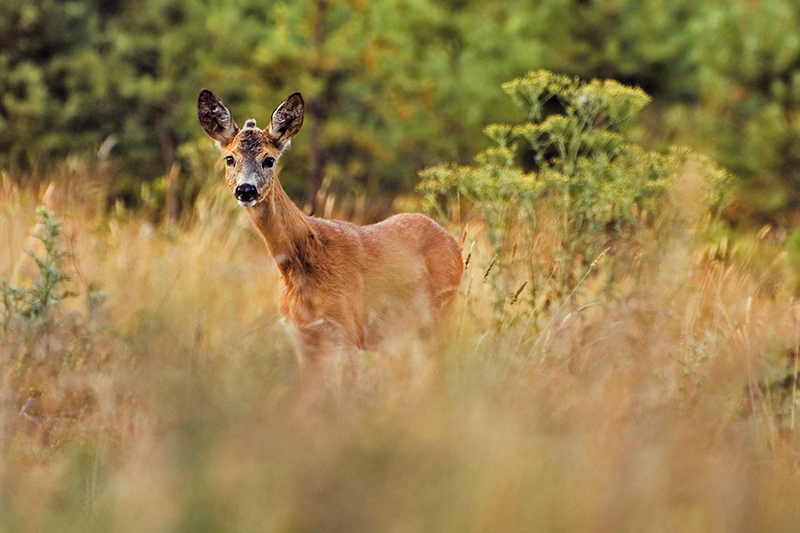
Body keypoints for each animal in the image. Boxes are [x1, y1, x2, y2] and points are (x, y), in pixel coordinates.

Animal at [197, 90, 466, 390]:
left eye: (269, 159)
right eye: (229, 159)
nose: (246, 190)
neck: (302, 267)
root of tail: (452, 241)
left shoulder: (348, 330)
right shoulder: (302, 338)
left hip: (443, 308)